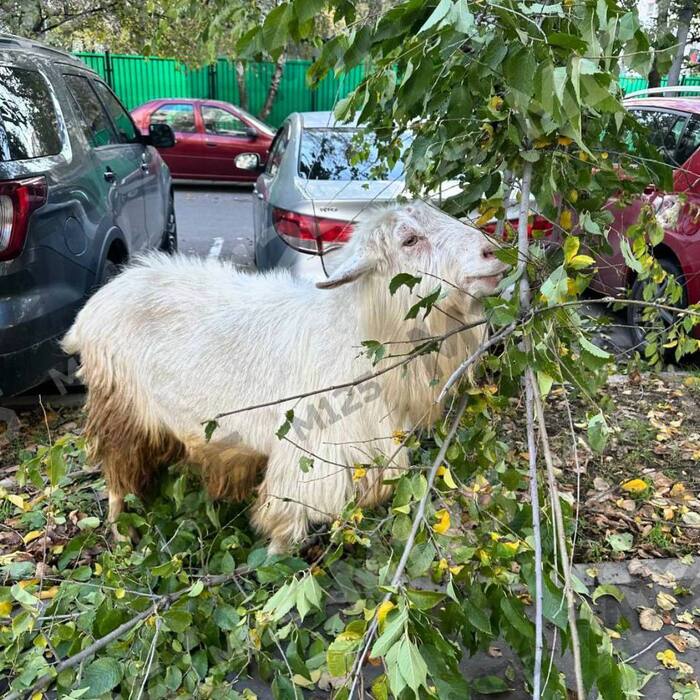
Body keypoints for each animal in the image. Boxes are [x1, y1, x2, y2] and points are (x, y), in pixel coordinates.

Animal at [63, 202, 506, 552]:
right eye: (410, 240)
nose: (494, 253)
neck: (351, 333)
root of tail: (92, 309)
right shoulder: (304, 459)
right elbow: (285, 533)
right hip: (120, 408)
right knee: (116, 474)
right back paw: (122, 533)